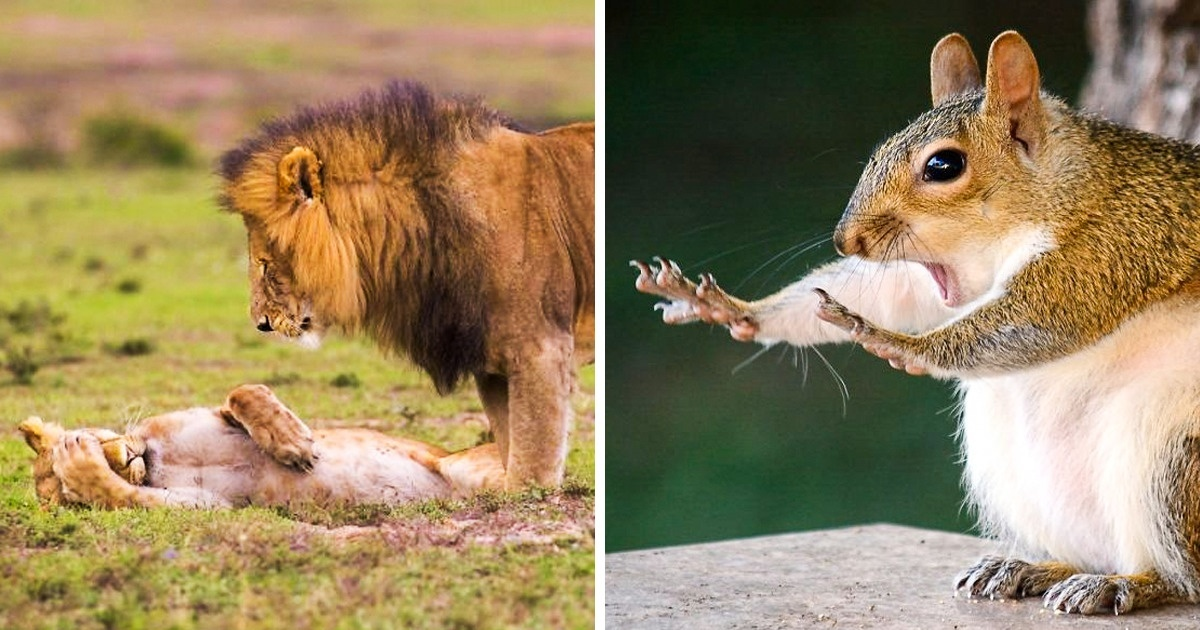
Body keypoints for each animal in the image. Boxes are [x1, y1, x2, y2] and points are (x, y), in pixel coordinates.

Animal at [22, 384, 501, 506]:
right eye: (68, 499)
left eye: (93, 436)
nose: (126, 459)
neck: (159, 459)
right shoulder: (205, 507)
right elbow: (121, 495)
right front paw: (83, 470)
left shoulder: (215, 416)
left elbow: (244, 392)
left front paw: (294, 444)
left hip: (466, 466)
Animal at [218, 82, 592, 487]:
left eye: (264, 264)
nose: (261, 324)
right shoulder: (491, 363)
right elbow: (510, 444)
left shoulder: (541, 346)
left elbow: (530, 461)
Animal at [638, 30, 1200, 614]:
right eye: (881, 150)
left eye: (943, 166)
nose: (846, 240)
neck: (1066, 186)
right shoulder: (925, 279)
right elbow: (886, 292)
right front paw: (732, 309)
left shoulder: (1113, 245)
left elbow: (1041, 319)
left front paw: (894, 343)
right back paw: (1032, 567)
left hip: (1169, 455)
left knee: (1183, 579)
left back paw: (1126, 583)